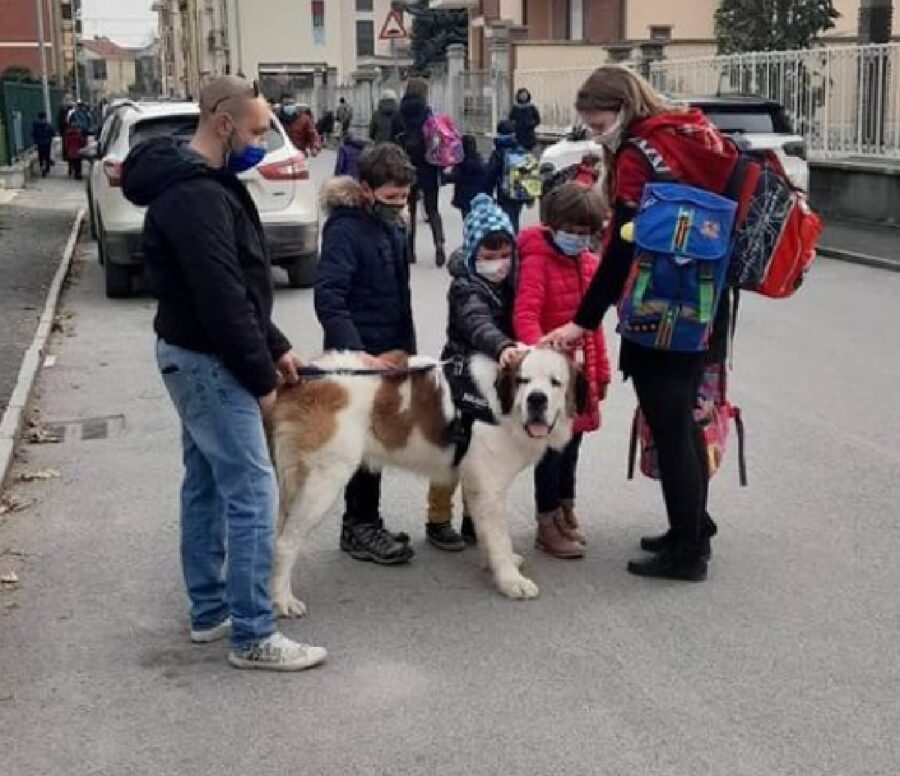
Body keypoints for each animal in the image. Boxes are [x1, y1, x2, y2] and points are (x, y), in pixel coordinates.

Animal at [266, 348, 592, 620]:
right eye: (524, 381)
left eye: (555, 383)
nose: (537, 399)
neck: (500, 405)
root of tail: (300, 379)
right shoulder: (488, 486)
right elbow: (500, 536)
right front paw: (511, 580)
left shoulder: (476, 483)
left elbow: (488, 532)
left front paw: (495, 563)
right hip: (323, 480)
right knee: (285, 543)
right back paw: (283, 600)